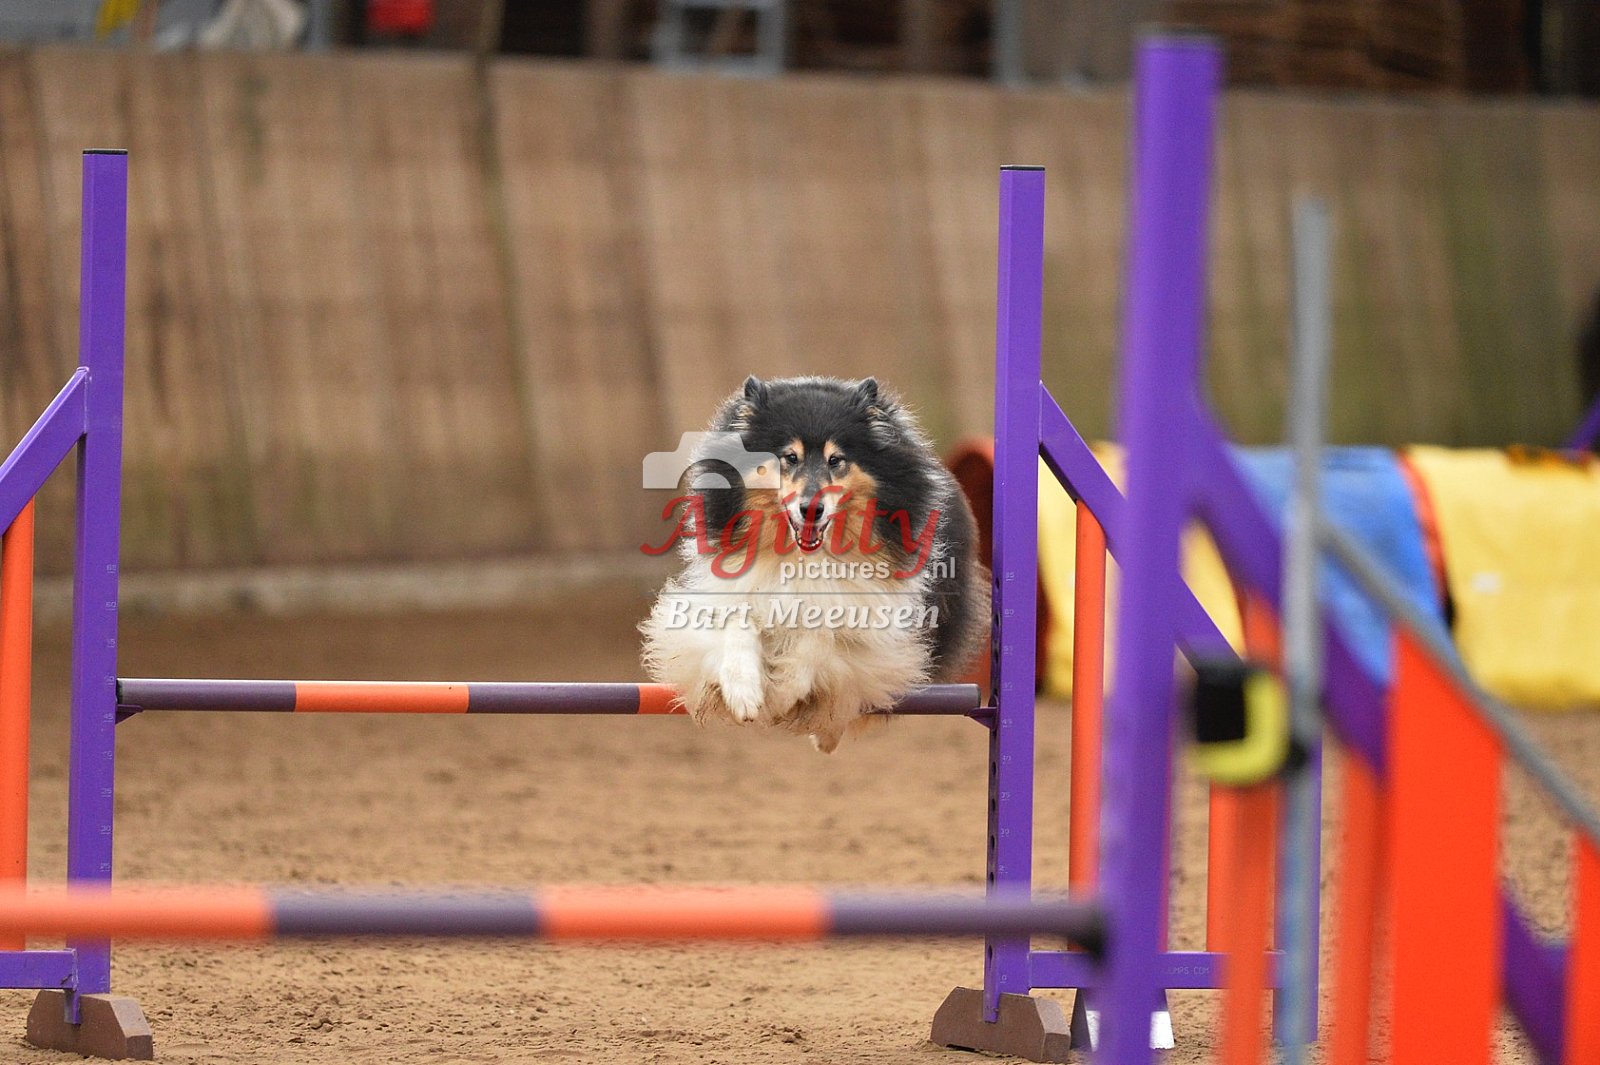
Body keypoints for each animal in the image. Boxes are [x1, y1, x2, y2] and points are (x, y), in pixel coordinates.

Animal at [641, 375, 989, 752]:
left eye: (836, 460)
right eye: (789, 457)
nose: (811, 509)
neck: (802, 556)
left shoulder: (872, 620)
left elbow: (822, 638)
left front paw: (781, 695)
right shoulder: (730, 588)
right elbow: (736, 623)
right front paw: (744, 695)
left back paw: (826, 736)